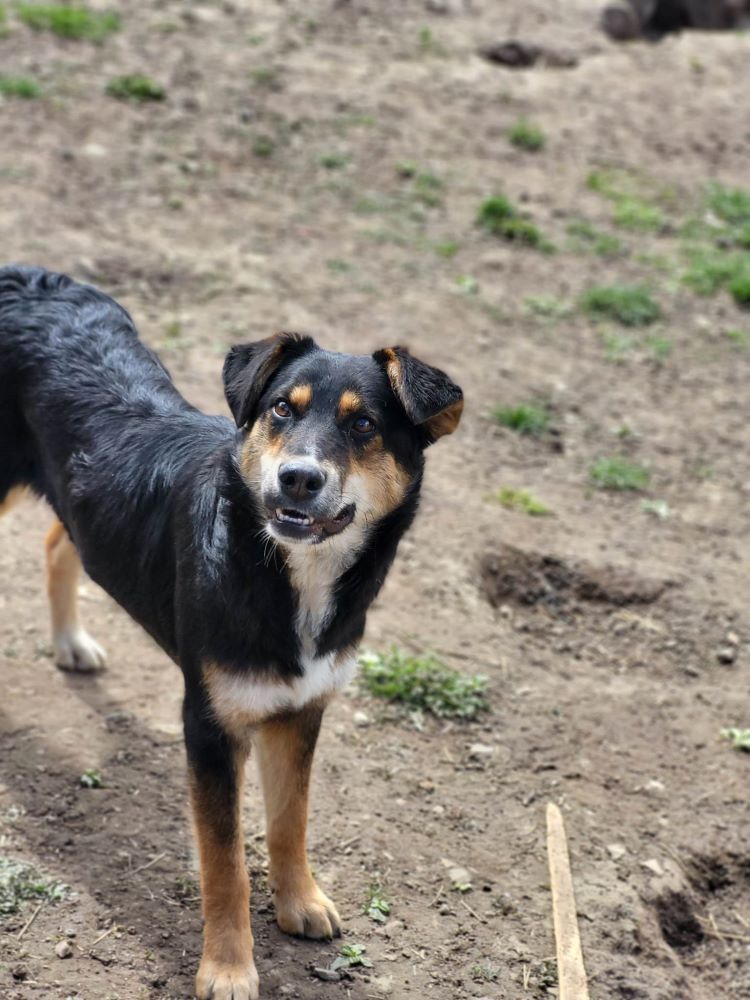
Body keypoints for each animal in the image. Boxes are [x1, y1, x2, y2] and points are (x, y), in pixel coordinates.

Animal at [0, 266, 464, 1000]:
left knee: (57, 537)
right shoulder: (210, 727)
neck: (287, 576)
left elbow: (289, 821)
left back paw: (71, 641)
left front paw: (300, 901)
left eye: (363, 424)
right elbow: (224, 865)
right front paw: (227, 968)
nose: (298, 478)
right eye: (280, 410)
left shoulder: (301, 709)